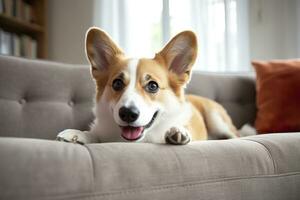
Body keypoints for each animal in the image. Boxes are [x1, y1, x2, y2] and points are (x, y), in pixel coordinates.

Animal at [56, 27, 239, 145]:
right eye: (117, 83)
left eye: (152, 86)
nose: (128, 114)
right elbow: (94, 135)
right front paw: (78, 134)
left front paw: (177, 132)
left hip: (216, 118)